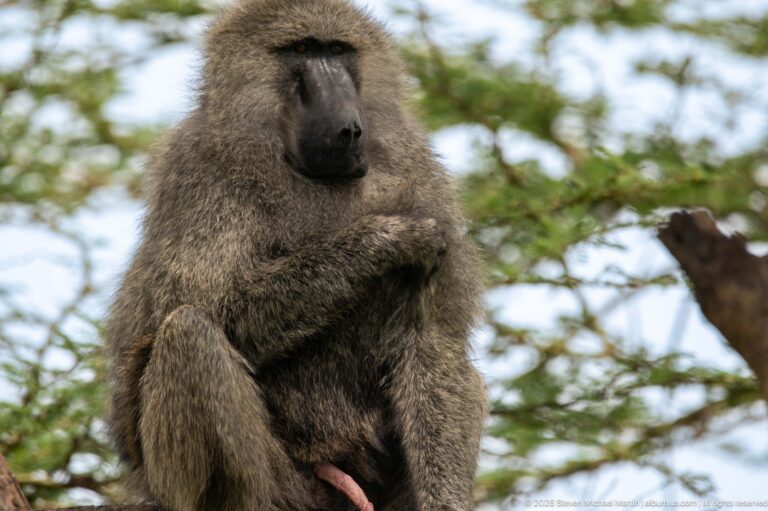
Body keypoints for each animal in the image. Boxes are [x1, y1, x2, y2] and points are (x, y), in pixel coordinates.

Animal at [105, 0, 488, 510]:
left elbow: (436, 345)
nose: (345, 126)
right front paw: (386, 238)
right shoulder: (197, 166)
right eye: (302, 49)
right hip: (277, 484)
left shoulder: (423, 178)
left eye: (338, 51)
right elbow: (203, 303)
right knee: (188, 333)